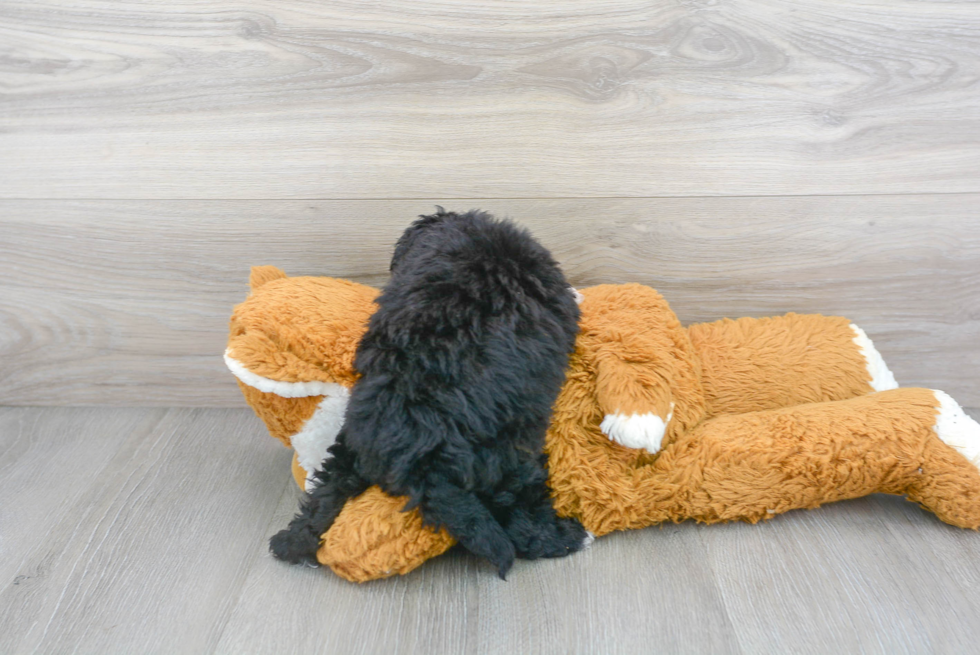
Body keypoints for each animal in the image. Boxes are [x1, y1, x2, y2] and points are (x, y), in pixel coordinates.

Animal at [272, 210, 584, 580]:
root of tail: (419, 456)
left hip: (351, 441)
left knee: (328, 488)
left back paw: (291, 541)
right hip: (511, 455)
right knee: (522, 516)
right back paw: (564, 537)